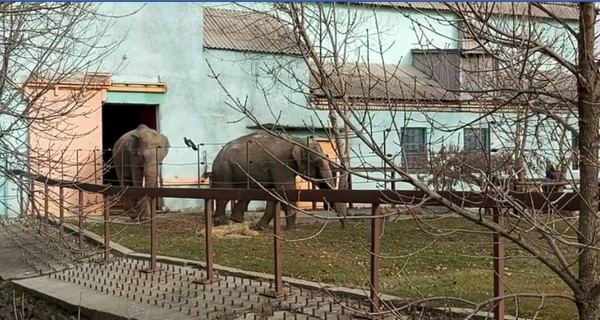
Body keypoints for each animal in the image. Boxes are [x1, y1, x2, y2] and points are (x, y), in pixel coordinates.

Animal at [210, 132, 346, 230]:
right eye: (316, 162)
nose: (344, 226)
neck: (296, 140)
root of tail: (218, 154)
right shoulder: (280, 163)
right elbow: (286, 190)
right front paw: (291, 229)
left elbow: (274, 194)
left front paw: (260, 228)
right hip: (224, 170)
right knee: (224, 195)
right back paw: (221, 224)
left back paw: (236, 220)